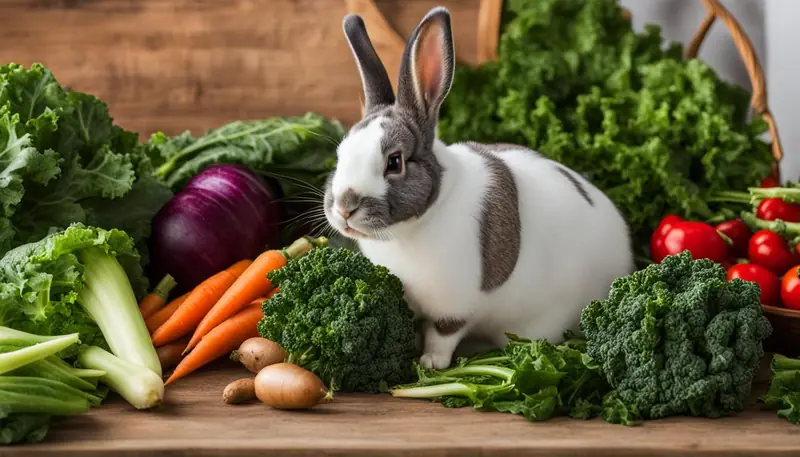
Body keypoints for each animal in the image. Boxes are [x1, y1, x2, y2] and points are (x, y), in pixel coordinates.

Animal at [323, 6, 635, 370]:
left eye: (394, 162)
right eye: (340, 154)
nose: (344, 207)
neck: (413, 228)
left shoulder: (456, 306)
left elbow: (442, 336)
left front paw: (429, 363)